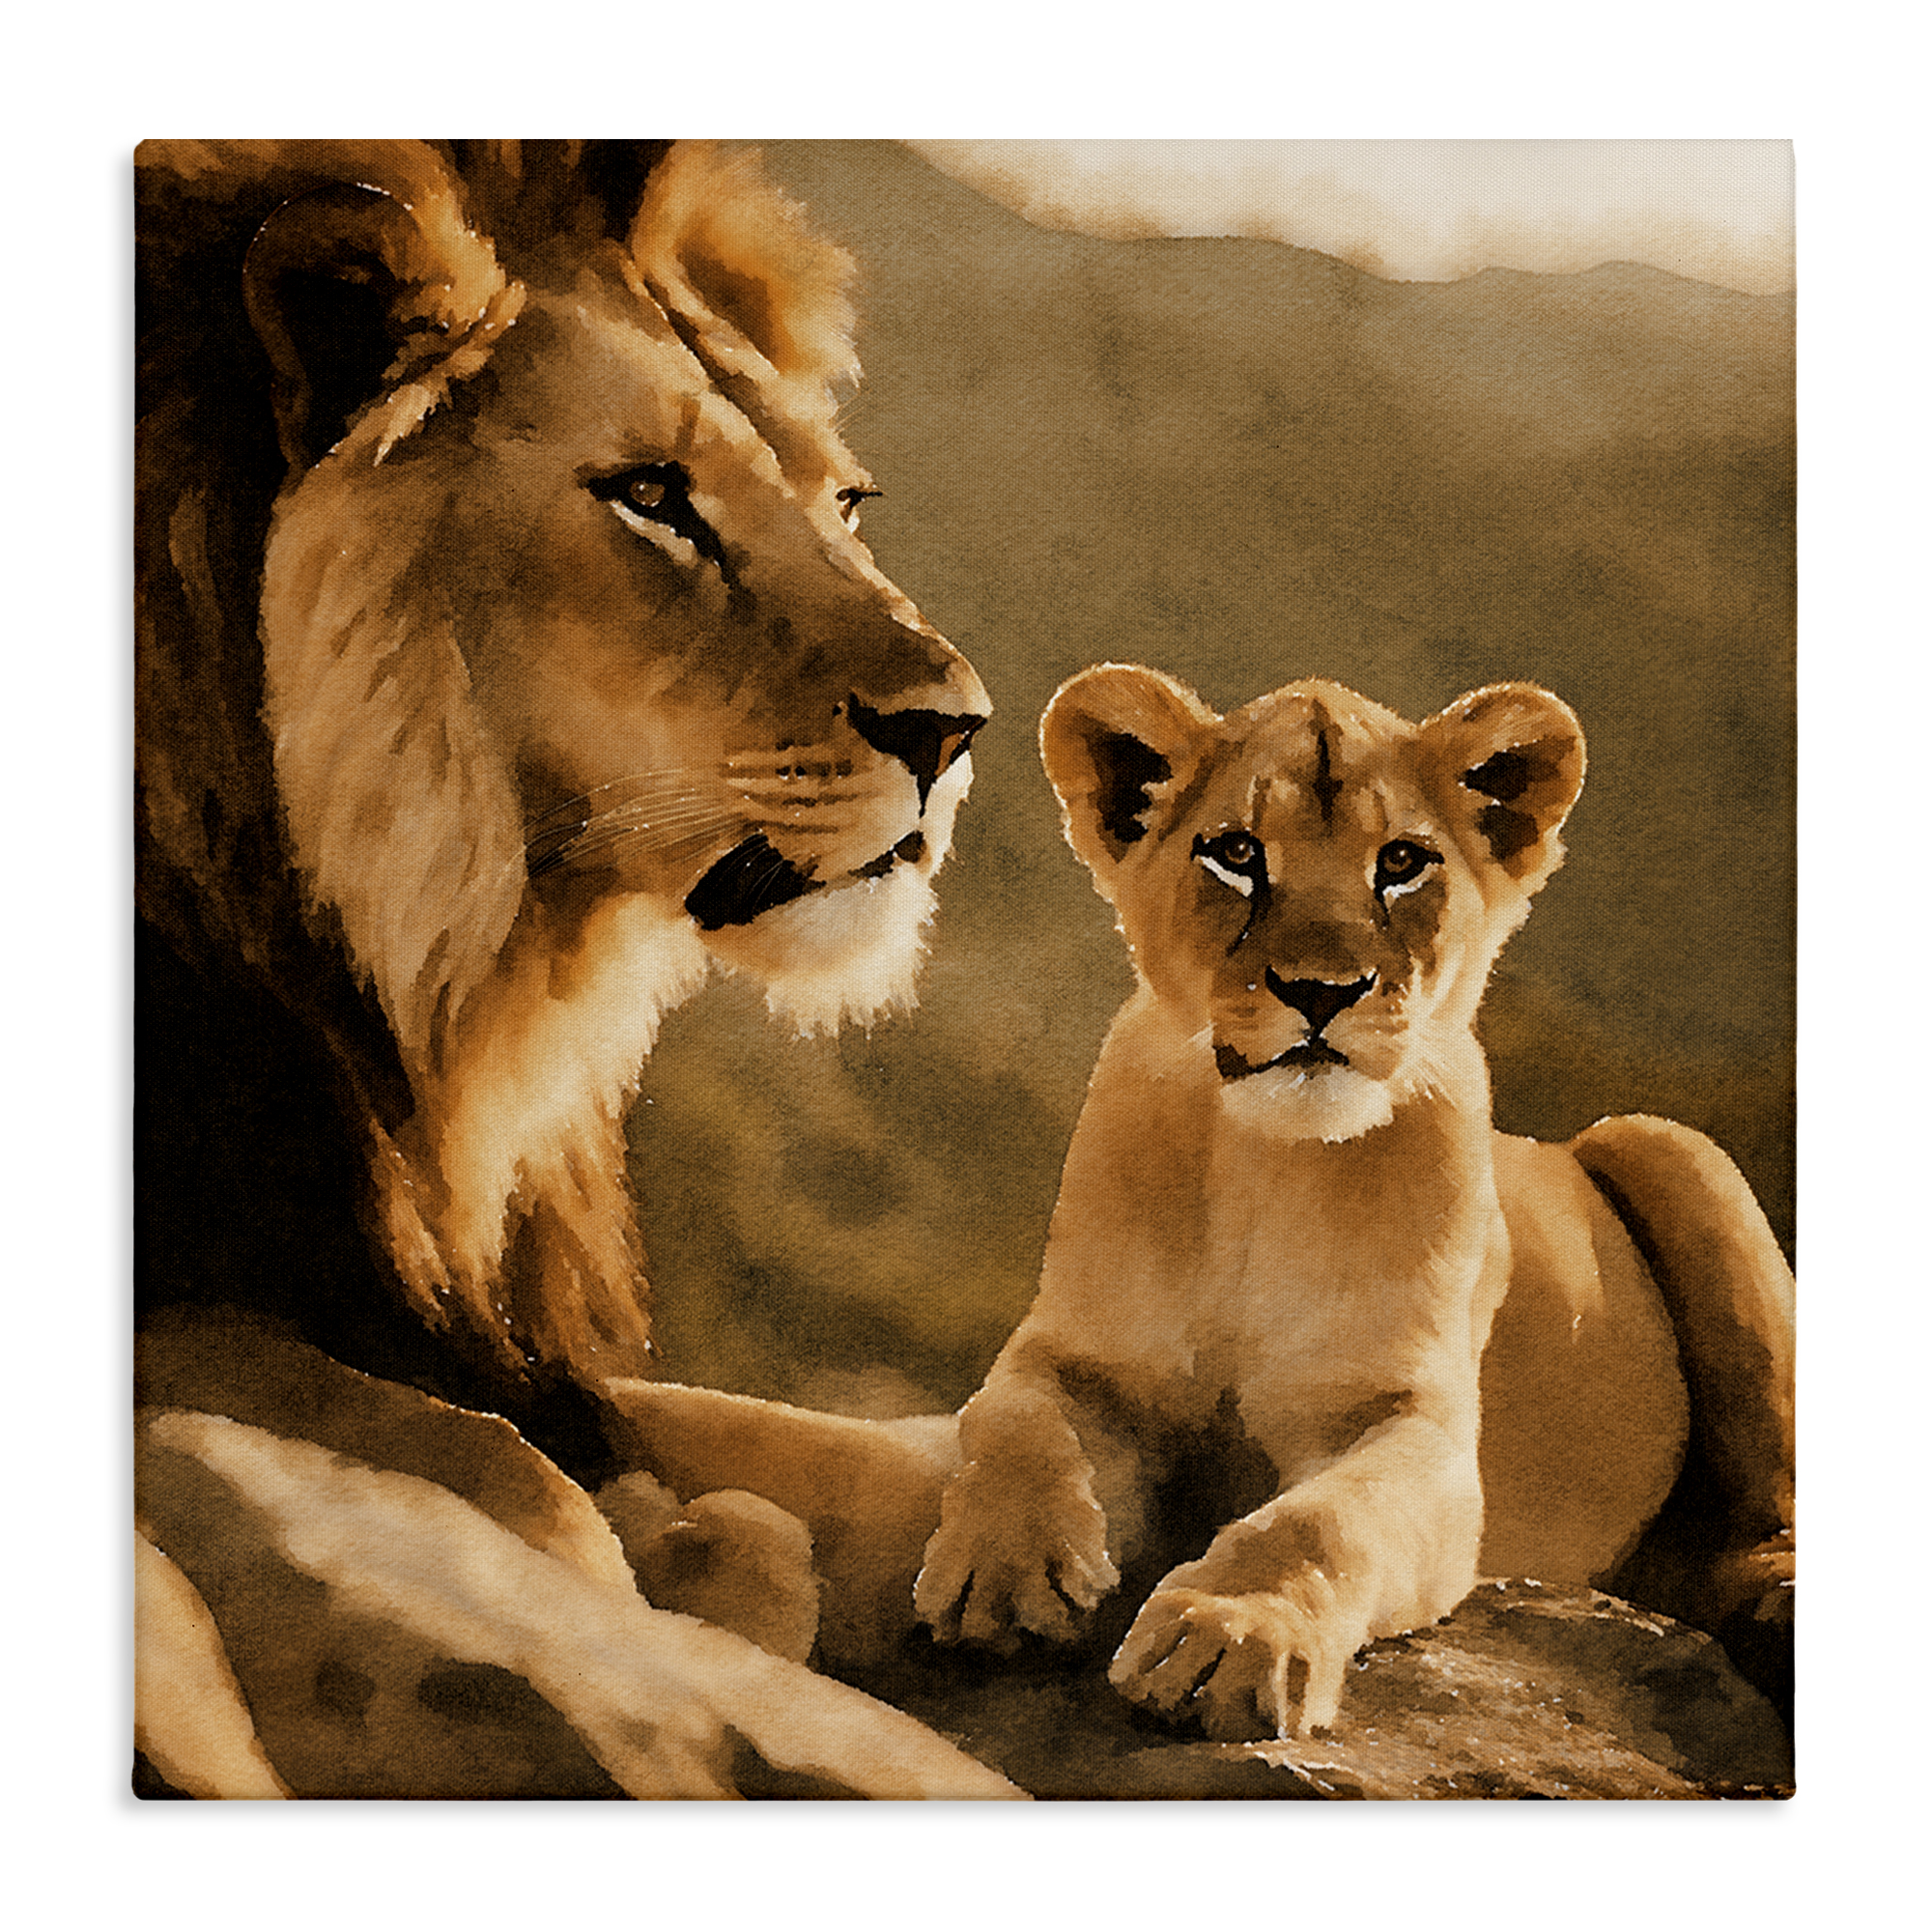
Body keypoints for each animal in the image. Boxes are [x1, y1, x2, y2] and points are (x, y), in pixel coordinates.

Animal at [909, 665, 1795, 1741]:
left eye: (1402, 862)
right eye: (1236, 854)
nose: (1320, 989)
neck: (1269, 1168)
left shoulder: (1418, 1428)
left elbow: (1316, 1521)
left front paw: (1227, 1636)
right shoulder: (1076, 1351)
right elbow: (1013, 1423)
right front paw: (1002, 1572)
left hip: (1666, 1142)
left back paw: (1776, 1599)